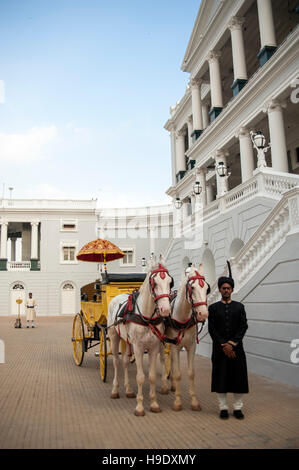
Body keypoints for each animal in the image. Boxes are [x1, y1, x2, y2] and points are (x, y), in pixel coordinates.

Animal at [108, 258, 173, 414]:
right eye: (154, 282)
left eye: (170, 282)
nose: (165, 310)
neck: (147, 317)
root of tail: (117, 297)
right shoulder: (138, 347)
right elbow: (140, 377)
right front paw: (139, 407)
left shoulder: (154, 347)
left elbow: (152, 376)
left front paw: (154, 403)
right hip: (114, 337)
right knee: (117, 362)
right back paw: (115, 390)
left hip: (127, 341)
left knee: (125, 361)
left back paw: (128, 390)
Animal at [165, 264, 210, 412]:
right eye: (193, 288)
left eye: (207, 288)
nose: (203, 314)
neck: (183, 319)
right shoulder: (174, 346)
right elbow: (178, 373)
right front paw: (178, 402)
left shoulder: (191, 346)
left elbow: (191, 373)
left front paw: (194, 401)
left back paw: (173, 384)